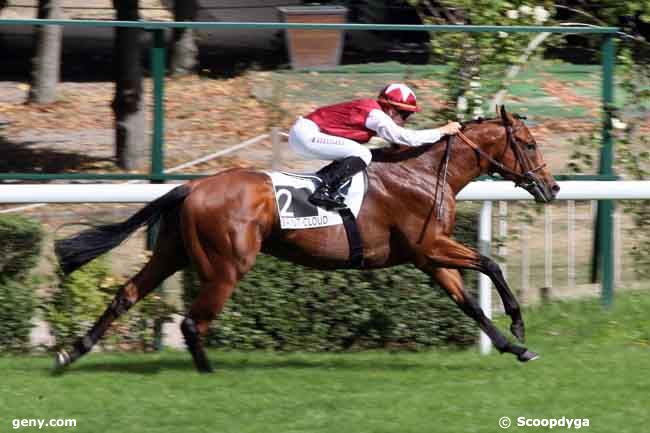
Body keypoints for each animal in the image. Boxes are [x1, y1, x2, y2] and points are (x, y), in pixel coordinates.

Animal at [53, 105, 556, 372]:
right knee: (193, 321)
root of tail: (193, 186)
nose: (551, 188)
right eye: (529, 144)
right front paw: (518, 325)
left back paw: (70, 353)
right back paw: (208, 372)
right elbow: (491, 264)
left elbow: (469, 304)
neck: (425, 173)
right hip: (227, 264)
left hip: (173, 252)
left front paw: (516, 347)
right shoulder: (430, 246)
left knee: (126, 294)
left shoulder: (428, 257)